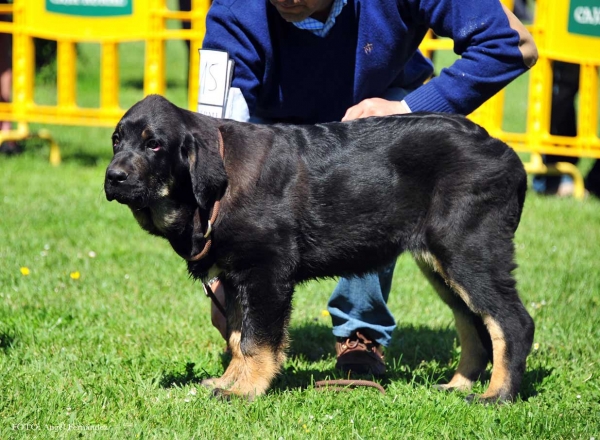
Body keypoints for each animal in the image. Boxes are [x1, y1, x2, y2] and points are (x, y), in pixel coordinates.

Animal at [104, 94, 536, 404]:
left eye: (155, 145)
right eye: (116, 140)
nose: (113, 177)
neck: (214, 192)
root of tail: (509, 156)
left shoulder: (266, 272)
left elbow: (256, 340)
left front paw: (245, 390)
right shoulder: (238, 276)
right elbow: (238, 338)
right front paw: (227, 381)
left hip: (468, 251)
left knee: (512, 322)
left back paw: (497, 395)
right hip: (441, 264)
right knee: (474, 325)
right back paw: (458, 385)